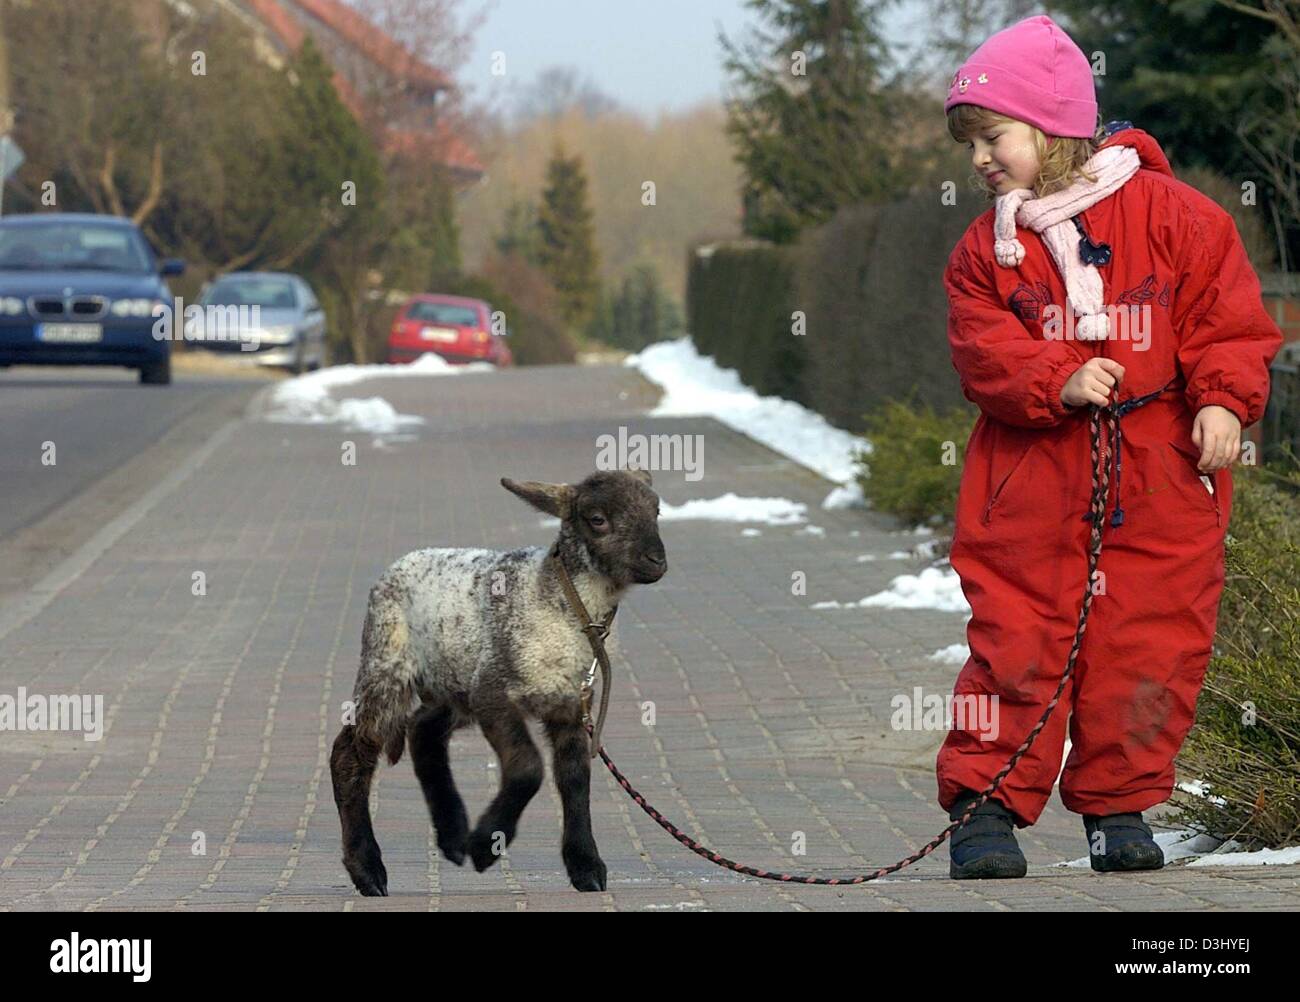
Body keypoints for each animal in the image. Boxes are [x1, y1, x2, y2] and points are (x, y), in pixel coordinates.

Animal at [325, 465, 670, 899]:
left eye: (656, 511)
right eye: (597, 519)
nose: (657, 560)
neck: (563, 604)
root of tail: (401, 563)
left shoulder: (570, 704)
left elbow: (575, 778)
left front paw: (586, 866)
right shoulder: (494, 693)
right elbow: (528, 768)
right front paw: (486, 846)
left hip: (454, 682)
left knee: (423, 730)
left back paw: (451, 835)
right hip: (387, 664)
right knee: (349, 753)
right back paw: (369, 870)